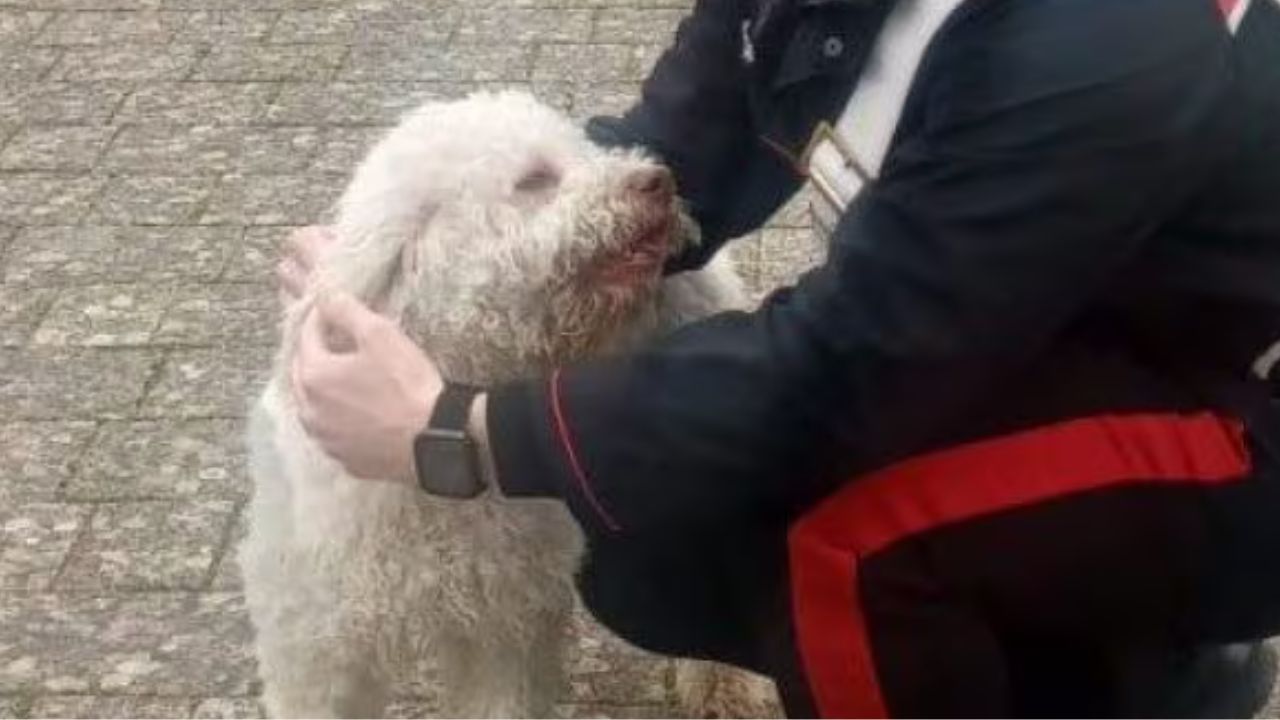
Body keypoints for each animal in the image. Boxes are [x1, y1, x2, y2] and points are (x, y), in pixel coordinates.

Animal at [240, 92, 778, 712]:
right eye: (535, 179)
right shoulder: (315, 643)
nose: (658, 180)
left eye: (581, 153)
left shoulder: (504, 629)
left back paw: (724, 685)